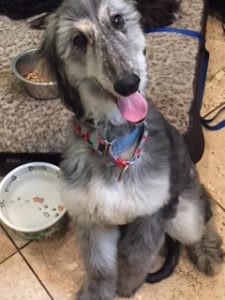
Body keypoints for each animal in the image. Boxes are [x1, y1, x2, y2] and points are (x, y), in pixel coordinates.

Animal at [39, 0, 224, 300]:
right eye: (78, 40)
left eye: (117, 20)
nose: (129, 83)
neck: (114, 145)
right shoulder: (93, 218)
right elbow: (100, 267)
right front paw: (98, 292)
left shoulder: (153, 213)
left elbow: (136, 256)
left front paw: (127, 286)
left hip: (183, 213)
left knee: (203, 220)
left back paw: (207, 249)